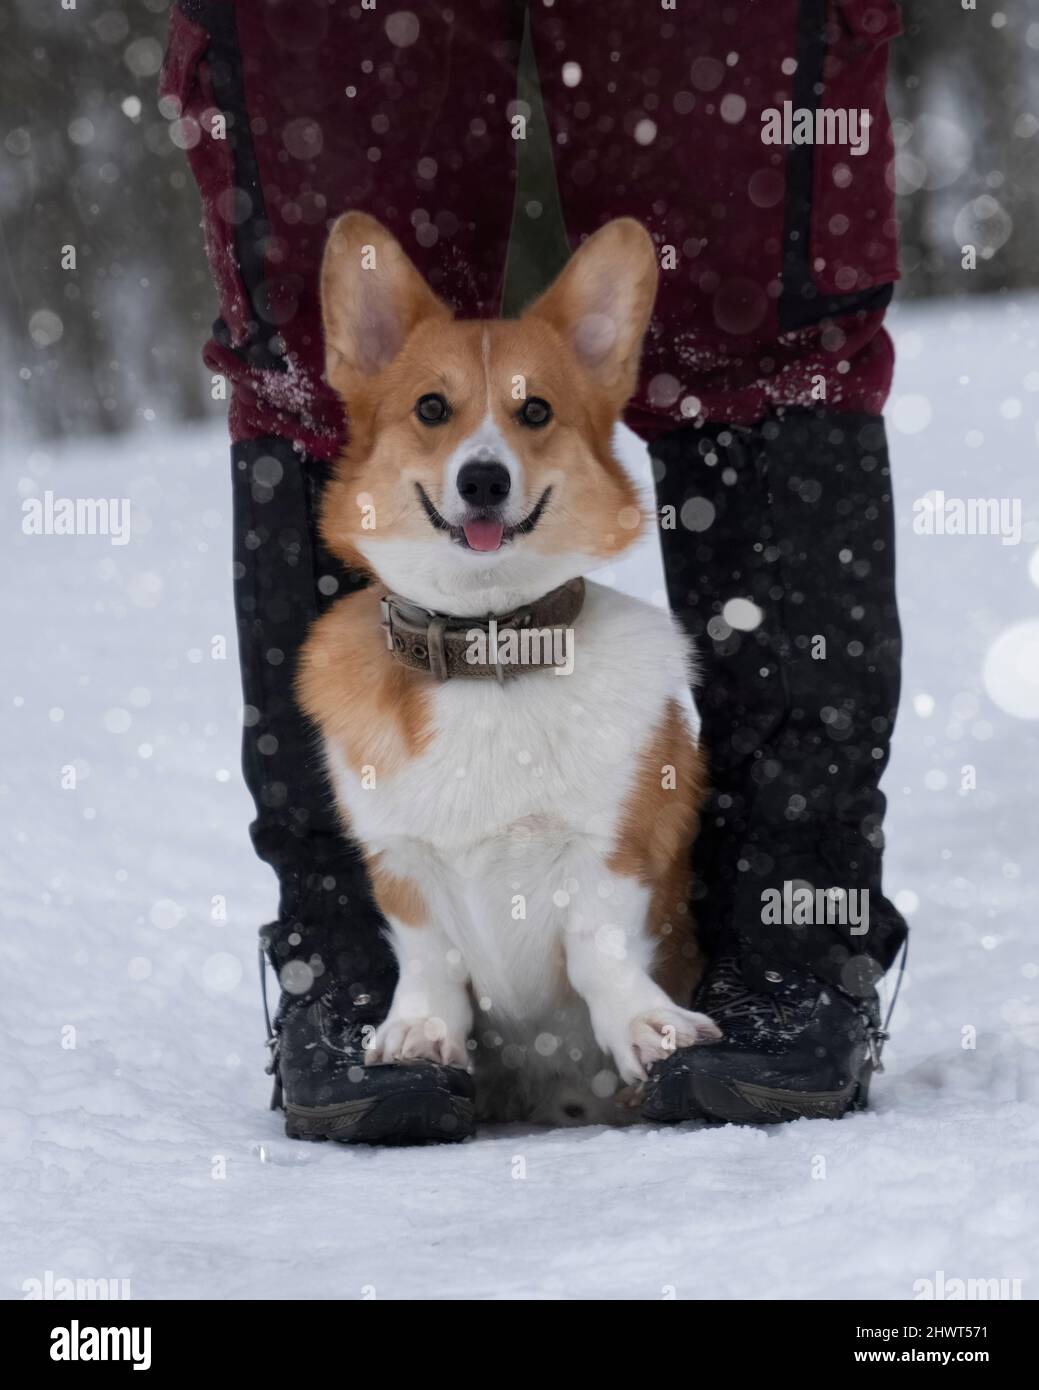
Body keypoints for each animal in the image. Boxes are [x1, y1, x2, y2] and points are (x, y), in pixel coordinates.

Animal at [300, 216, 717, 1128]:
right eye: (431, 408)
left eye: (536, 411)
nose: (484, 479)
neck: (487, 646)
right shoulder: (401, 859)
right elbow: (429, 960)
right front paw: (417, 1037)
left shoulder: (611, 844)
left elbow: (599, 949)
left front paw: (648, 1025)